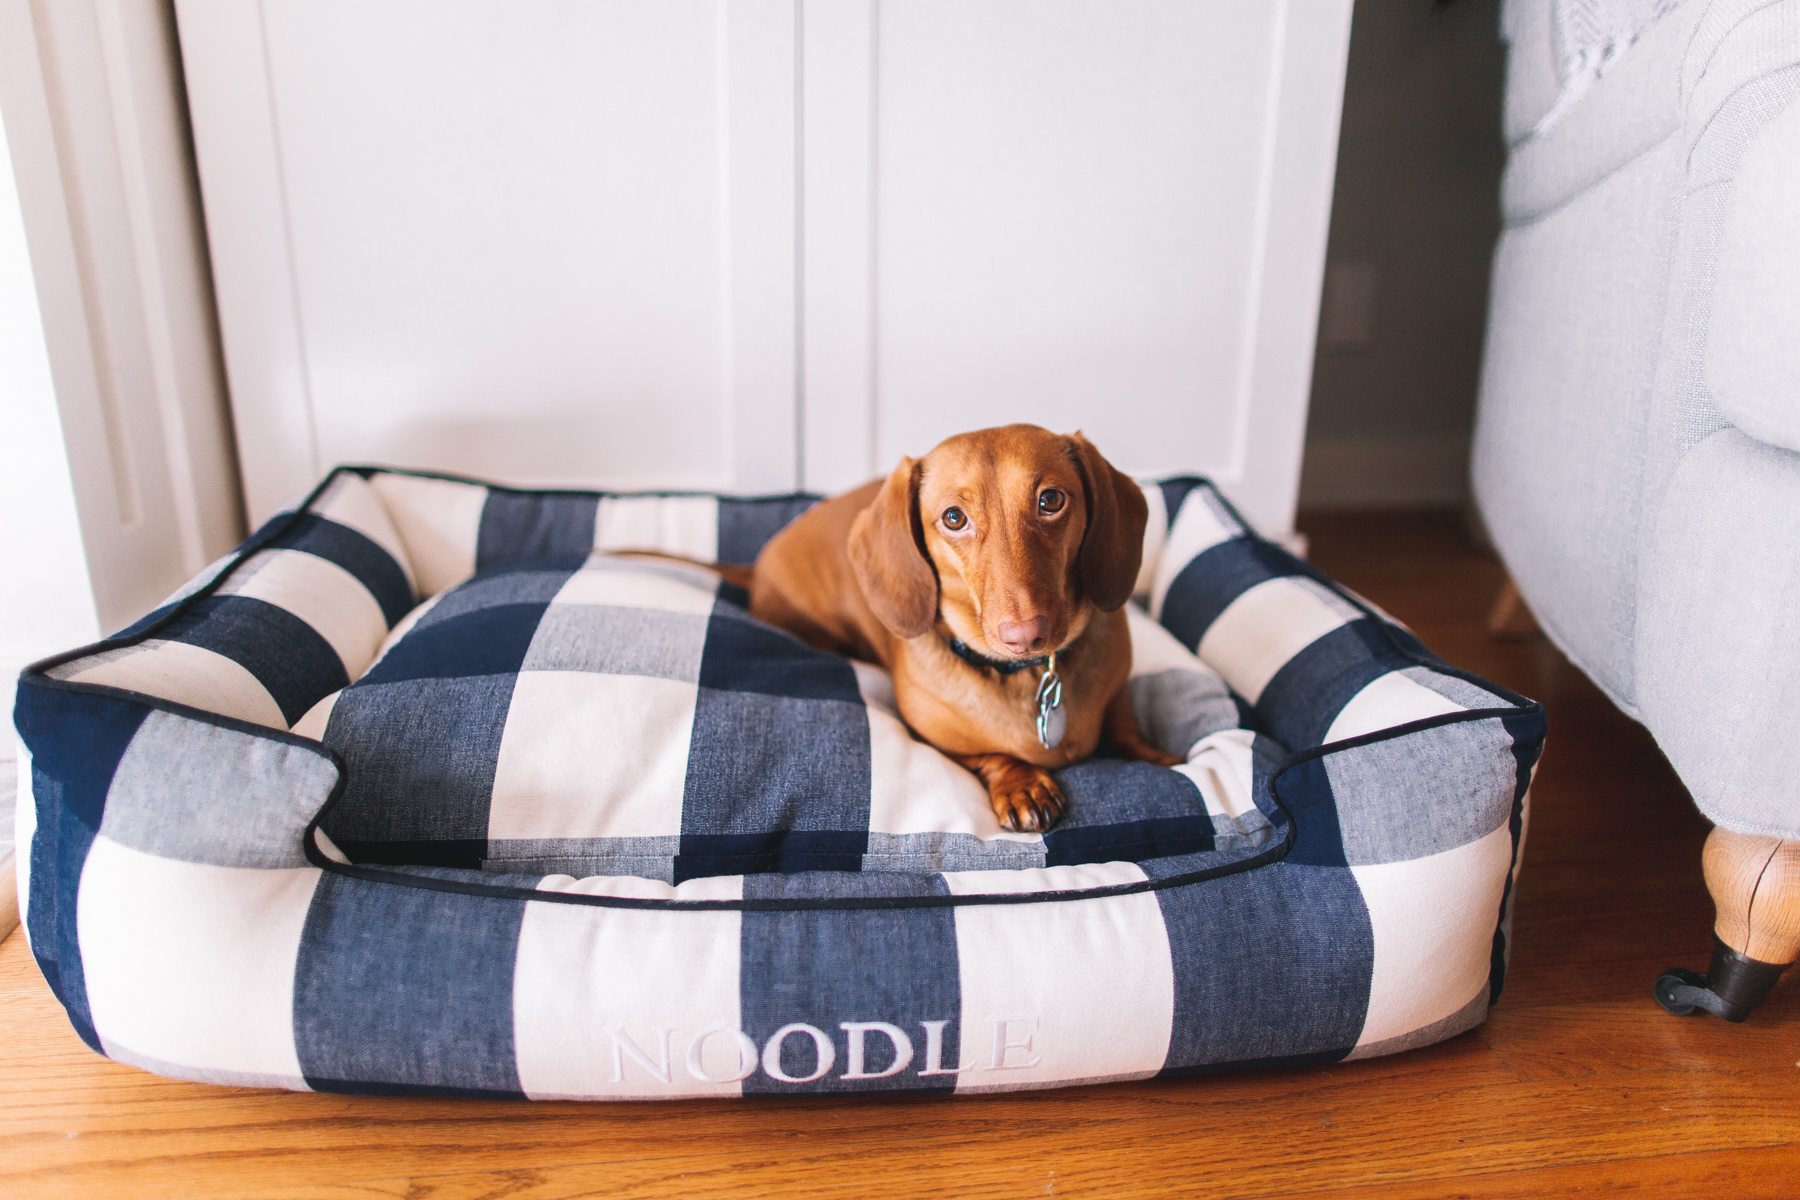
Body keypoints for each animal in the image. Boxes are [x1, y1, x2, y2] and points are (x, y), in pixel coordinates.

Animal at [752, 424, 1188, 834]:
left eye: (1050, 500)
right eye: (954, 518)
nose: (1026, 636)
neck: (1028, 675)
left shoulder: (1118, 692)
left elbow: (1125, 725)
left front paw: (1157, 758)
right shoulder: (931, 737)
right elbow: (990, 755)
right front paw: (1023, 784)